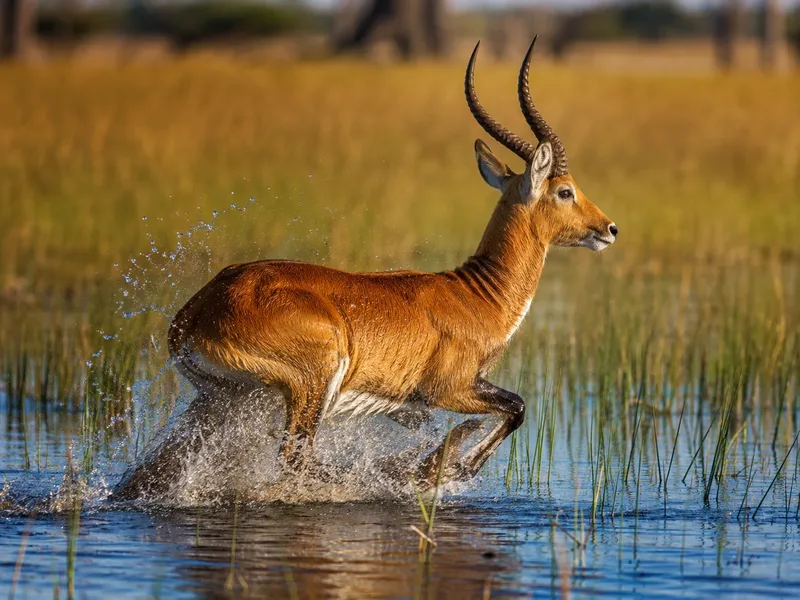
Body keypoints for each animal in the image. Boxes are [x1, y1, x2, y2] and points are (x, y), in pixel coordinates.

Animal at [113, 39, 617, 500]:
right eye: (566, 191)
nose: (609, 228)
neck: (476, 295)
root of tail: (196, 310)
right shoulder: (447, 391)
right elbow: (516, 407)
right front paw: (444, 466)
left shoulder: (413, 406)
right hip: (310, 386)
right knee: (294, 462)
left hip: (220, 402)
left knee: (154, 472)